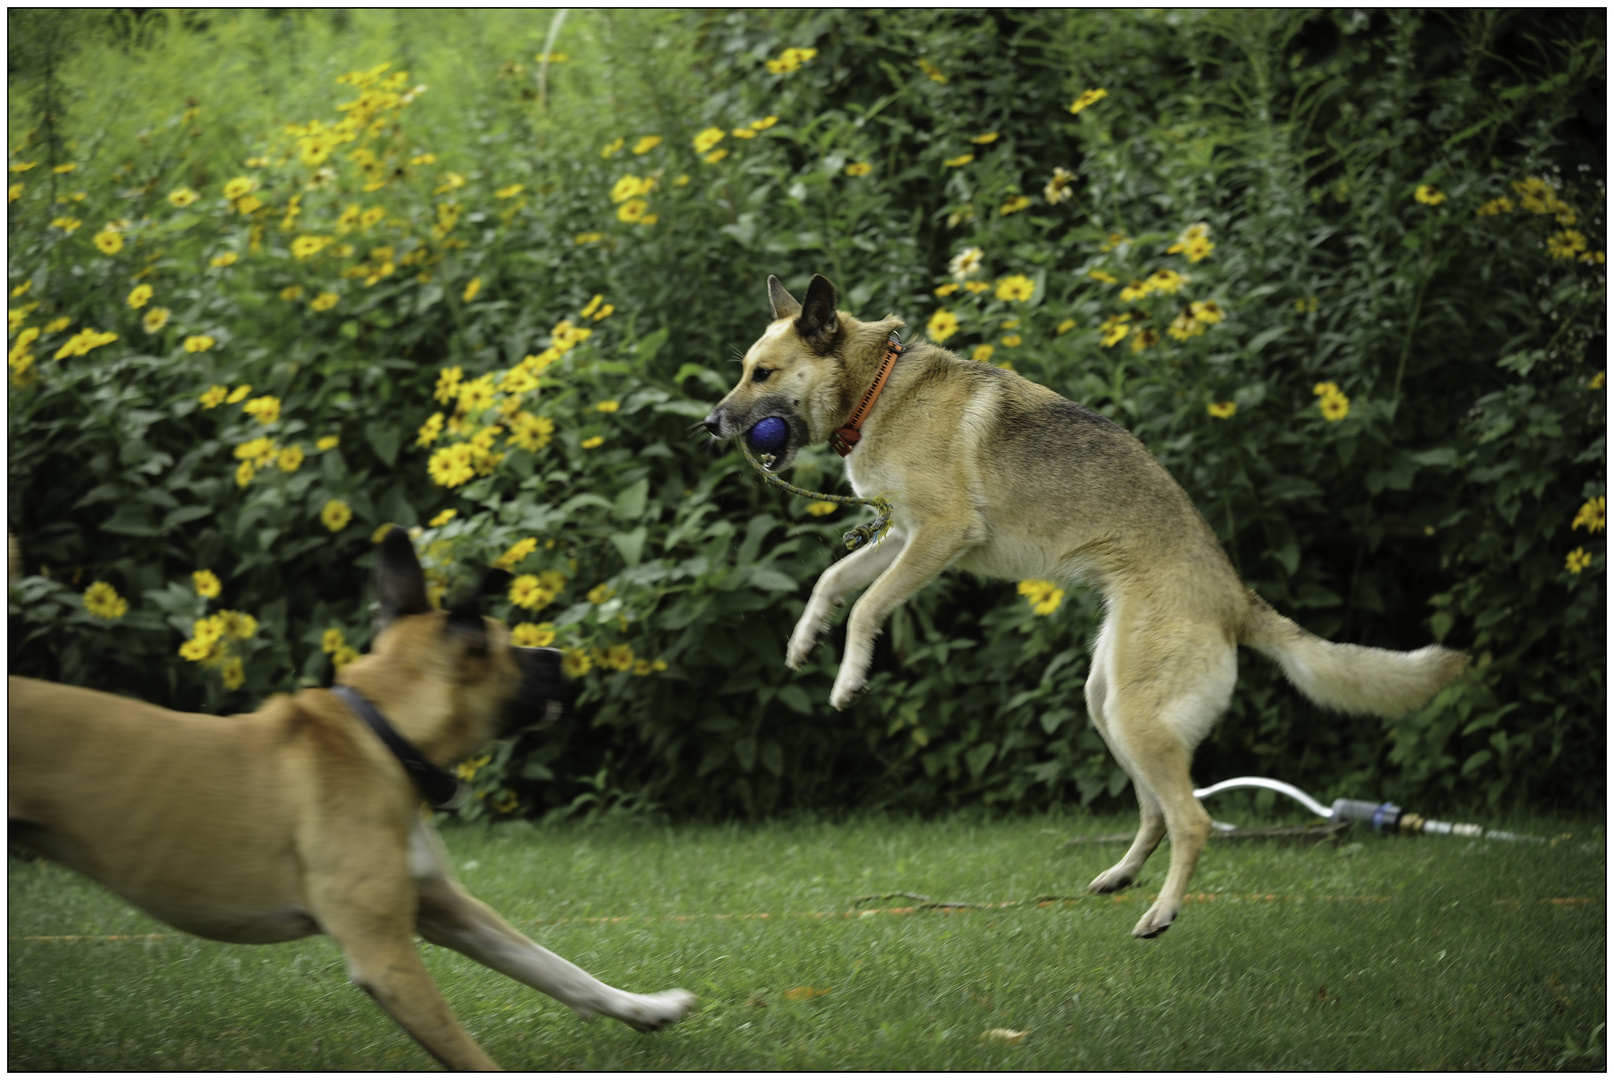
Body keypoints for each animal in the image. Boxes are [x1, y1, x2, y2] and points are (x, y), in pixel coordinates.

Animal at [11, 526, 694, 1065]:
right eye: (505, 645)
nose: (556, 653)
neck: (380, 735)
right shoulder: (386, 957)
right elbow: (470, 1054)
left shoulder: (449, 910)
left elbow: (558, 969)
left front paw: (645, 1006)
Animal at [700, 276, 1471, 936]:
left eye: (761, 374)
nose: (708, 425)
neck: (877, 387)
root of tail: (1235, 596)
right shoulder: (902, 536)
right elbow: (832, 582)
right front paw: (805, 642)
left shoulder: (940, 535)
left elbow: (864, 608)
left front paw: (848, 679)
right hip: (1109, 704)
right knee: (1157, 813)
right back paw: (1122, 878)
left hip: (1135, 714)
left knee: (1193, 820)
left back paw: (1161, 914)